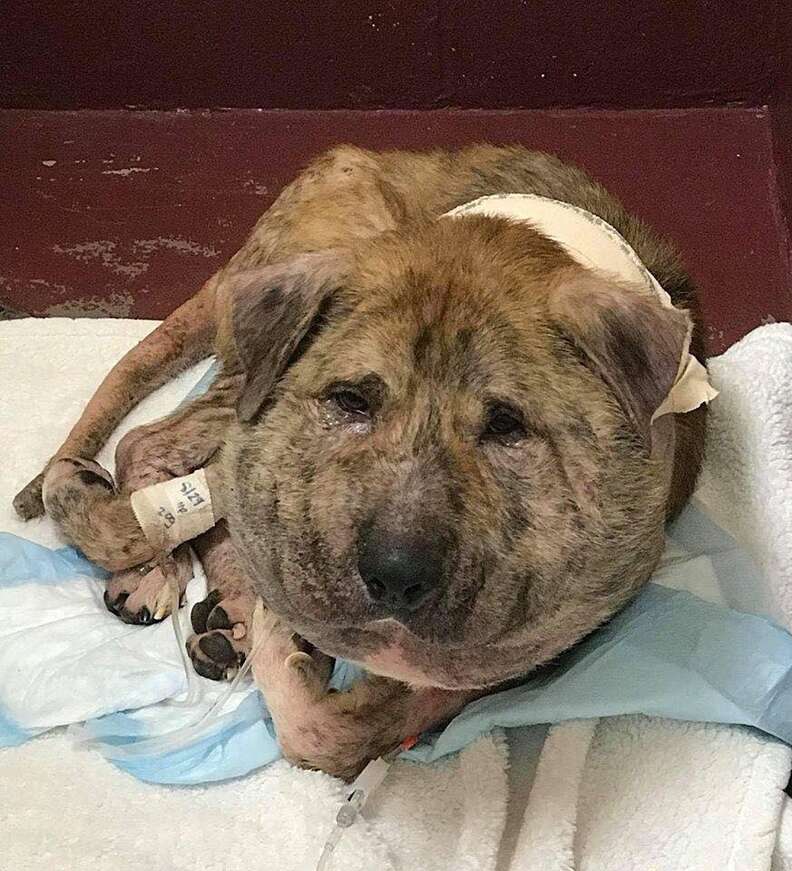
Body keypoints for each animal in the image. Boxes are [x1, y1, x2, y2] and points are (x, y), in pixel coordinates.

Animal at [13, 146, 704, 780]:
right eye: (350, 400)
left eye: (508, 425)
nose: (394, 577)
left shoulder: (513, 651)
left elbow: (342, 731)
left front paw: (279, 645)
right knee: (148, 446)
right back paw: (153, 562)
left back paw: (227, 609)